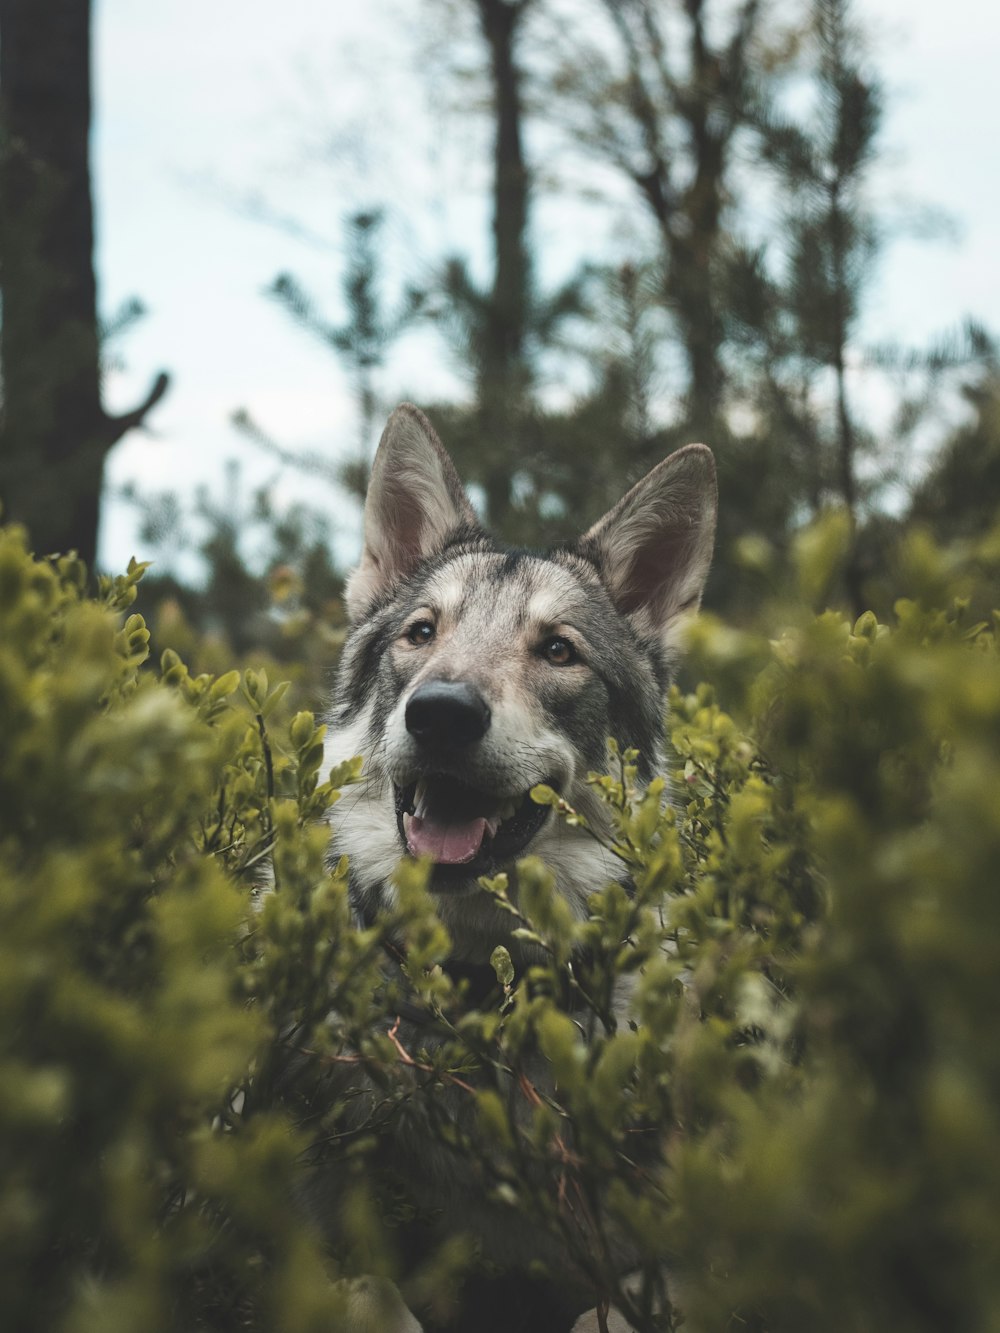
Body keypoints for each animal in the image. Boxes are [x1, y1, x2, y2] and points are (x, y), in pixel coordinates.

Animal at [317, 405, 714, 1333]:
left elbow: (605, 1310)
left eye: (559, 651)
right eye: (422, 633)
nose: (440, 712)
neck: (480, 991)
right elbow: (373, 1292)